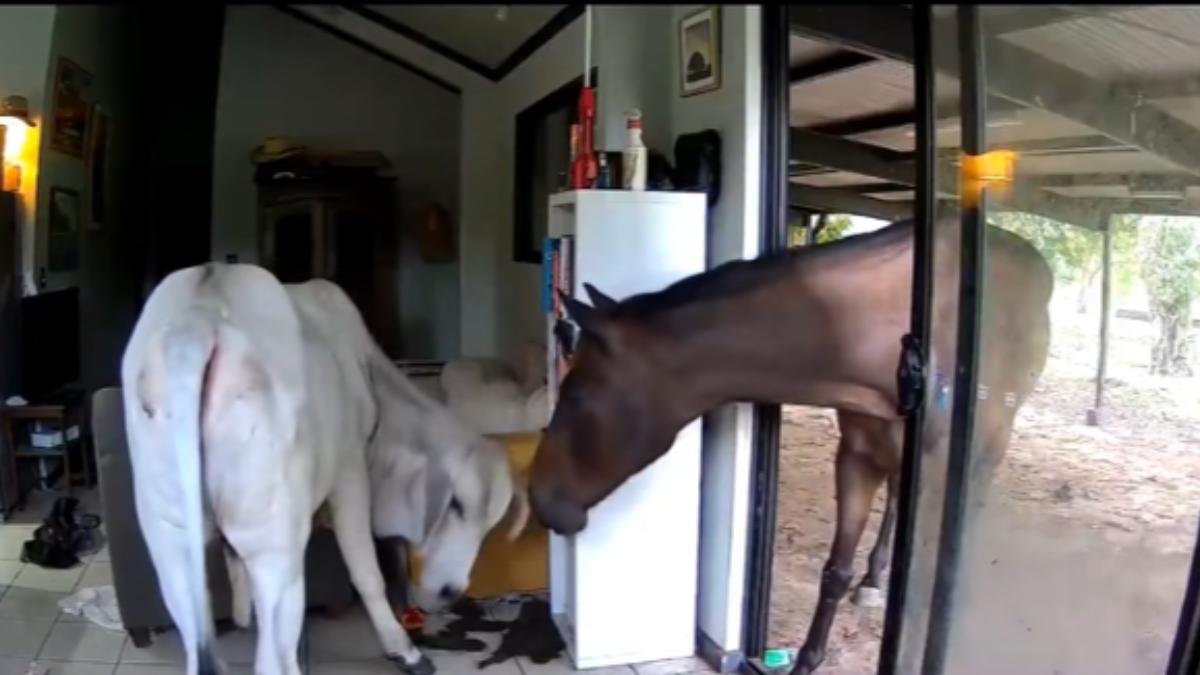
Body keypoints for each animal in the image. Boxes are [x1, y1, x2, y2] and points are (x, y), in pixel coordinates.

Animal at [527, 215, 1053, 674]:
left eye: (576, 394)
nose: (538, 496)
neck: (893, 340)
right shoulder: (857, 457)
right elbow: (835, 571)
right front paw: (807, 659)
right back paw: (875, 577)